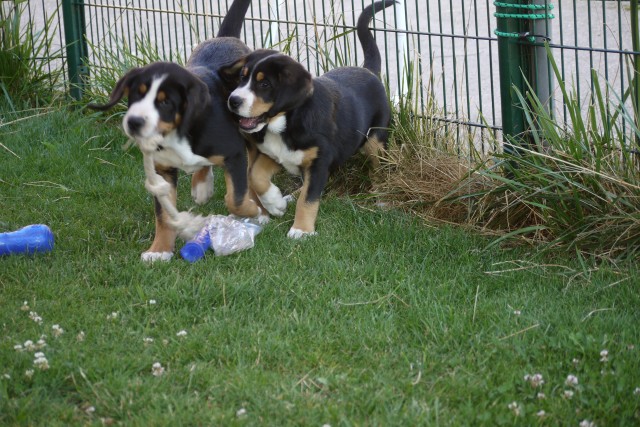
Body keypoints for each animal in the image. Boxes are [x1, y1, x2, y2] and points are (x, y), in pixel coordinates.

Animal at [87, 0, 262, 262]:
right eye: (135, 95)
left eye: (165, 102)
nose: (134, 123)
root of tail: (226, 38)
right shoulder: (163, 171)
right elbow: (164, 216)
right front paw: (159, 250)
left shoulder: (234, 152)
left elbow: (236, 198)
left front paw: (253, 211)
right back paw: (202, 186)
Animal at [225, 0, 396, 239]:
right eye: (242, 77)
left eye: (264, 84)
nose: (233, 101)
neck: (284, 125)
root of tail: (368, 70)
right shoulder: (274, 154)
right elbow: (256, 177)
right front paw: (275, 203)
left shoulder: (318, 162)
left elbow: (309, 199)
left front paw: (301, 230)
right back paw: (290, 196)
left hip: (375, 140)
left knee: (379, 168)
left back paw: (380, 197)